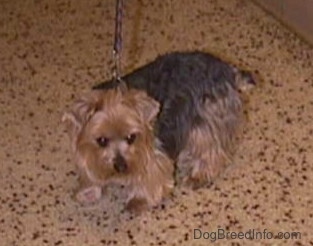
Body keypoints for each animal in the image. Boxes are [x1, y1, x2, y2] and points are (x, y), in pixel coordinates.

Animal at [62, 51, 255, 212]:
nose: (121, 166)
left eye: (131, 137)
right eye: (101, 140)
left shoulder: (151, 149)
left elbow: (153, 172)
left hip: (207, 114)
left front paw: (139, 200)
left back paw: (199, 175)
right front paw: (88, 191)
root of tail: (226, 68)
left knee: (209, 146)